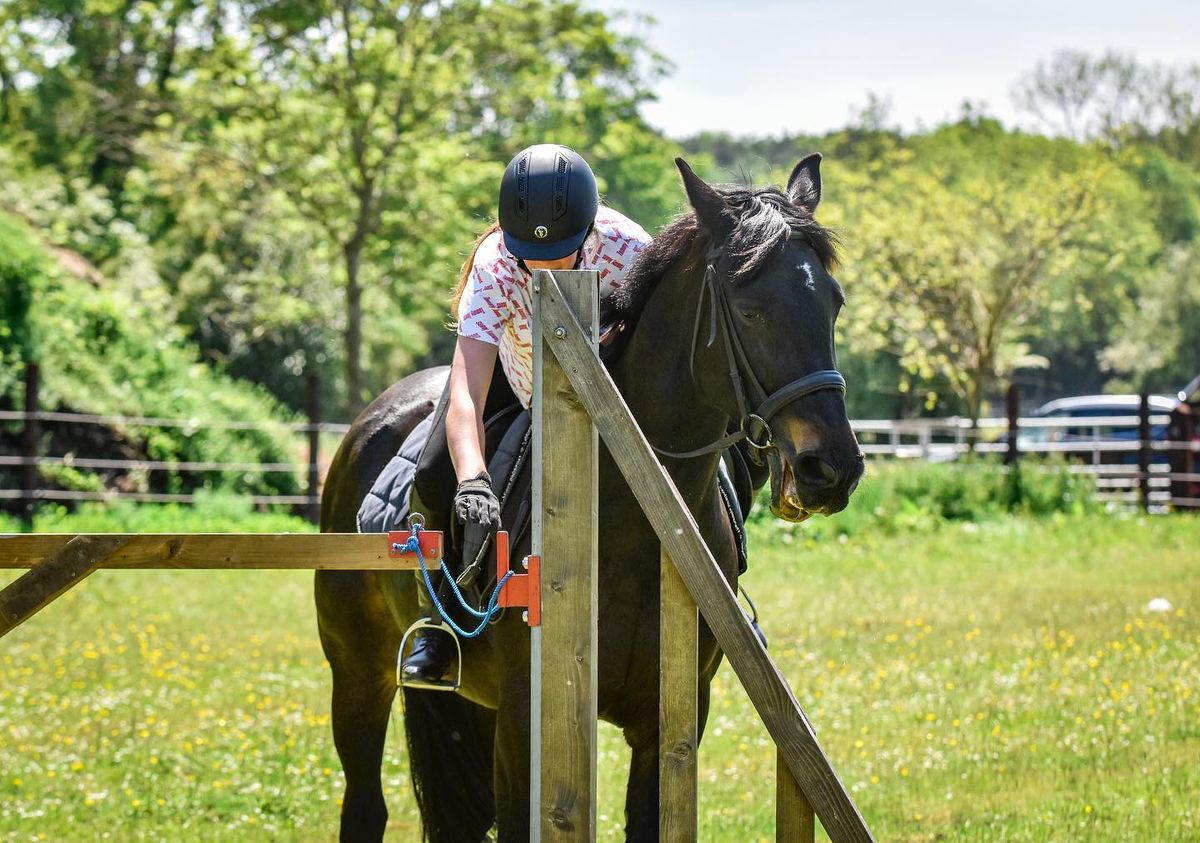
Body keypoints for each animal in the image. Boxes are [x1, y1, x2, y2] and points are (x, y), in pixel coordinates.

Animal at [314, 154, 868, 840]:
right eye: (749, 310)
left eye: (834, 303)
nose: (830, 470)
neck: (631, 523)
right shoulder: (525, 722)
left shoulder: (668, 726)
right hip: (357, 674)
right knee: (365, 802)